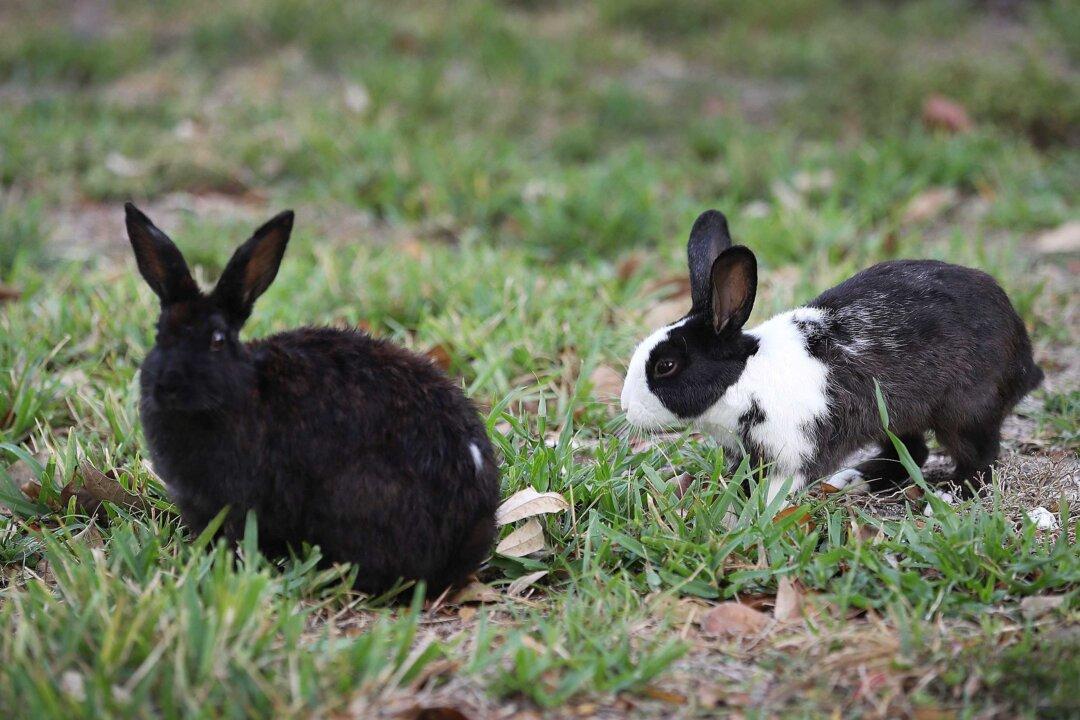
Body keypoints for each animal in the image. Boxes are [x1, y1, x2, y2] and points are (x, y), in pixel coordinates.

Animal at [621, 209, 1043, 504]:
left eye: (665, 366)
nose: (626, 408)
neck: (743, 378)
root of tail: (1025, 359)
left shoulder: (795, 452)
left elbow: (778, 489)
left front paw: (754, 515)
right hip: (894, 416)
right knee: (912, 451)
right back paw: (852, 480)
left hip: (966, 412)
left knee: (981, 458)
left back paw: (951, 492)